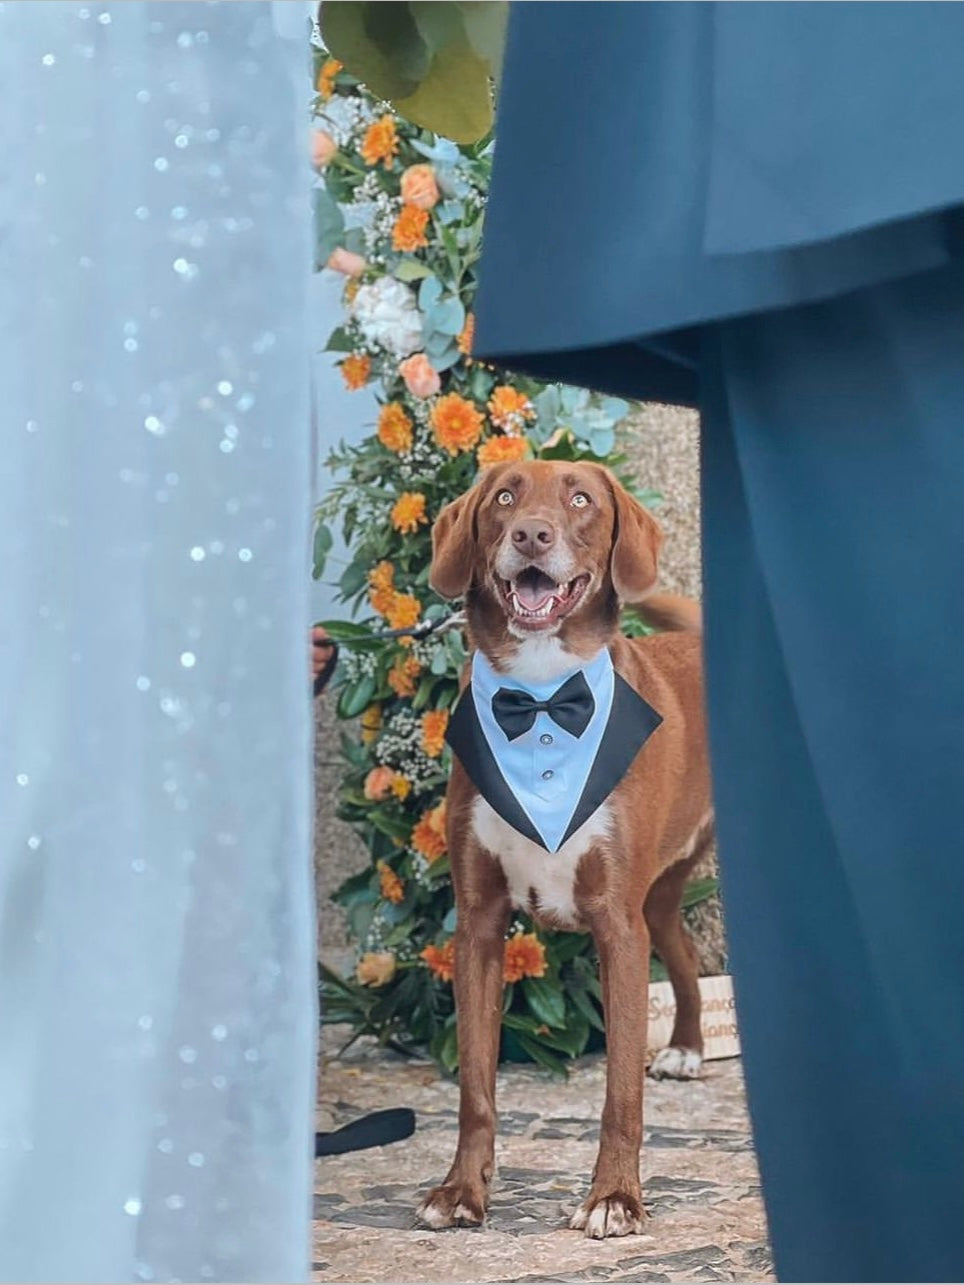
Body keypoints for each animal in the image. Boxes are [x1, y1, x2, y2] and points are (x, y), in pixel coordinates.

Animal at [416, 460, 719, 1233]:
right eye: (504, 496)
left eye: (580, 497)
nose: (531, 535)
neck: (543, 697)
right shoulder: (480, 921)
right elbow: (475, 1087)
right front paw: (461, 1191)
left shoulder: (616, 922)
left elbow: (619, 1094)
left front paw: (614, 1197)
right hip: (660, 893)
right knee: (683, 950)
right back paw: (686, 1047)